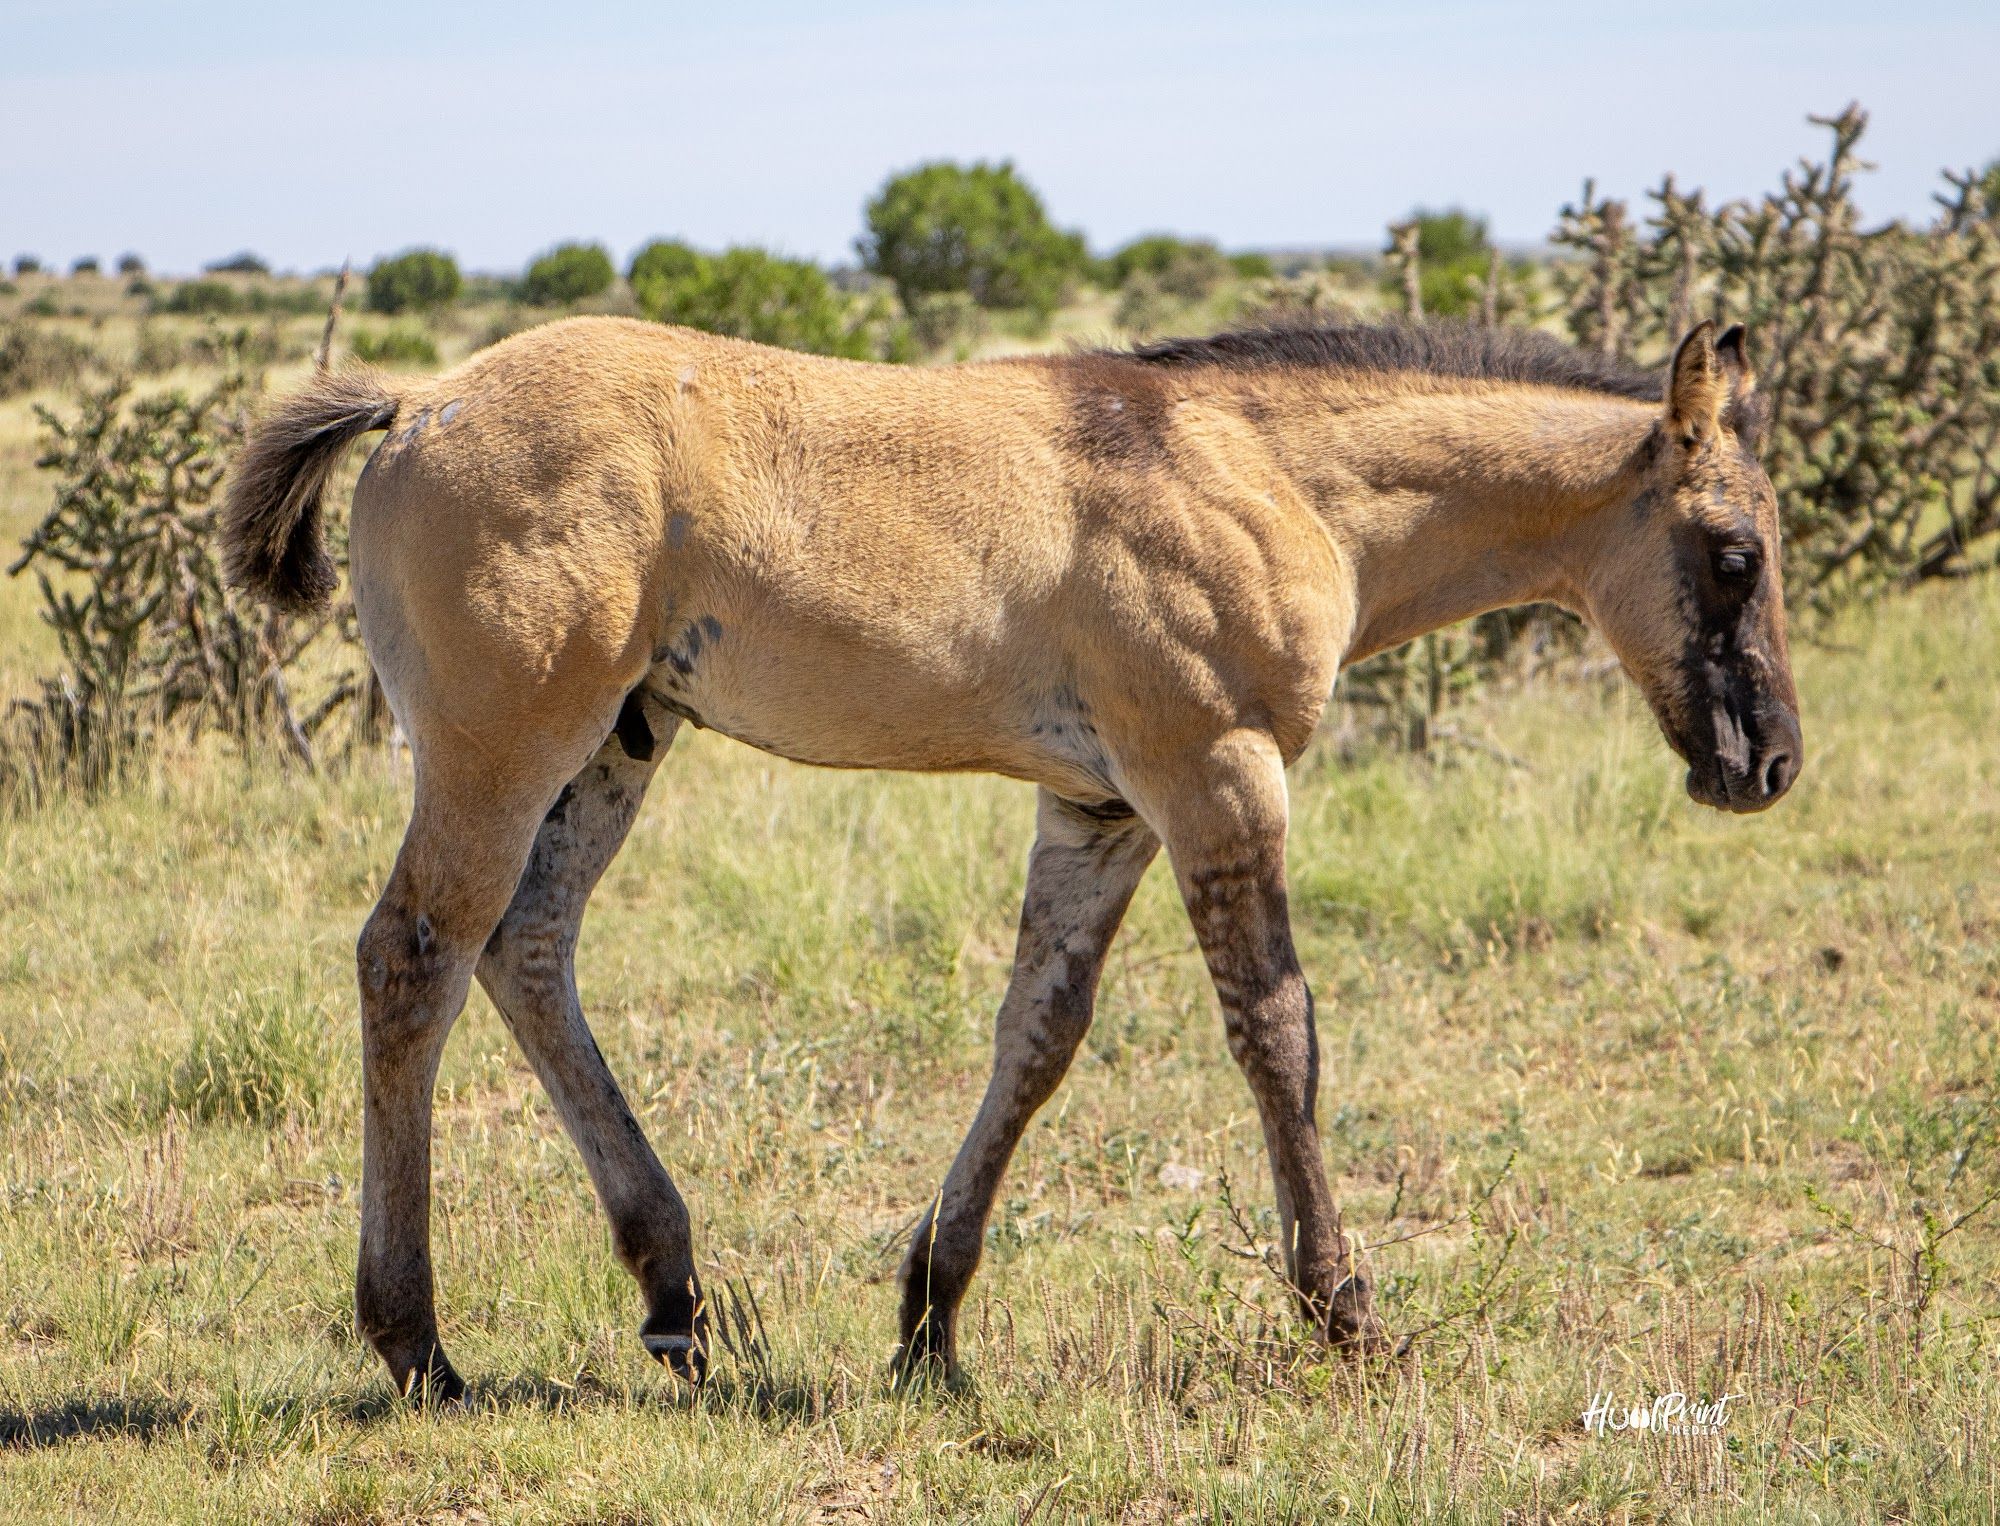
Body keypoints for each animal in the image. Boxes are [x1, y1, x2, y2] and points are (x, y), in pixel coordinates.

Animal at [222, 314, 1801, 1400]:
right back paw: (418, 1342)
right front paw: (1345, 1311)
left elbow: (1036, 1035)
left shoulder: (1100, 811)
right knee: (414, 957)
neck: (1266, 471)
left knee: (528, 948)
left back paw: (675, 1292)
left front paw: (930, 1317)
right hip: (503, 746)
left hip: (619, 740)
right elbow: (1278, 1032)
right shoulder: (1215, 776)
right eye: (1734, 554)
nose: (1769, 763)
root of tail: (419, 401)